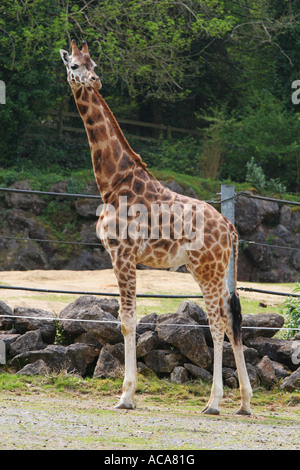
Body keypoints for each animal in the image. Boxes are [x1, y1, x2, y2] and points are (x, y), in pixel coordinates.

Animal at [59, 40, 252, 414]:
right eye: (75, 64)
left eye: (92, 64)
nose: (94, 80)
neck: (112, 181)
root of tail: (230, 229)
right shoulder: (124, 257)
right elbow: (127, 320)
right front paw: (127, 394)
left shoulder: (122, 254)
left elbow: (127, 321)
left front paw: (126, 396)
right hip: (218, 271)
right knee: (233, 320)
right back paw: (245, 403)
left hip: (205, 269)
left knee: (217, 322)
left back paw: (214, 402)